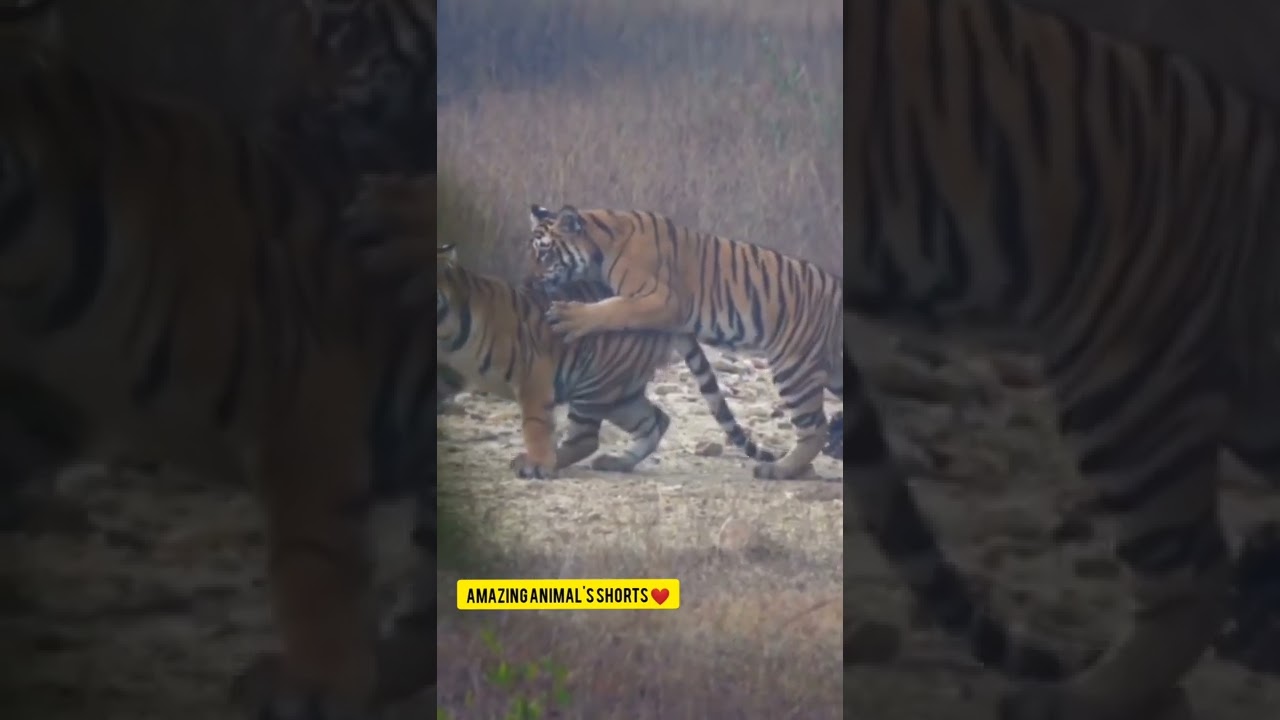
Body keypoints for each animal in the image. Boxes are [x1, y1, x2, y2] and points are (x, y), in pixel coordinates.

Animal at [0, 2, 435, 717]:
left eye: (342, 33)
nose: (283, 114)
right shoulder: (40, 399)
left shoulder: (305, 388)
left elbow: (312, 553)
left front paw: (319, 681)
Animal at [526, 205, 843, 481]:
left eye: (545, 253)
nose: (530, 281)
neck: (603, 242)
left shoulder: (661, 299)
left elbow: (612, 309)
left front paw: (569, 316)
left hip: (794, 366)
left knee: (815, 430)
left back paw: (778, 469)